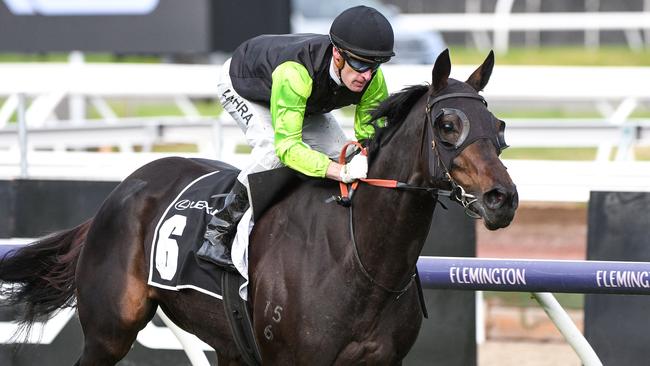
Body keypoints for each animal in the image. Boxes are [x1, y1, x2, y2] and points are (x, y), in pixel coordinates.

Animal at [0, 50, 516, 364]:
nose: (502, 199)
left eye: (499, 124)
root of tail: (122, 190)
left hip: (226, 343)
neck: (360, 257)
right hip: (109, 331)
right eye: (447, 125)